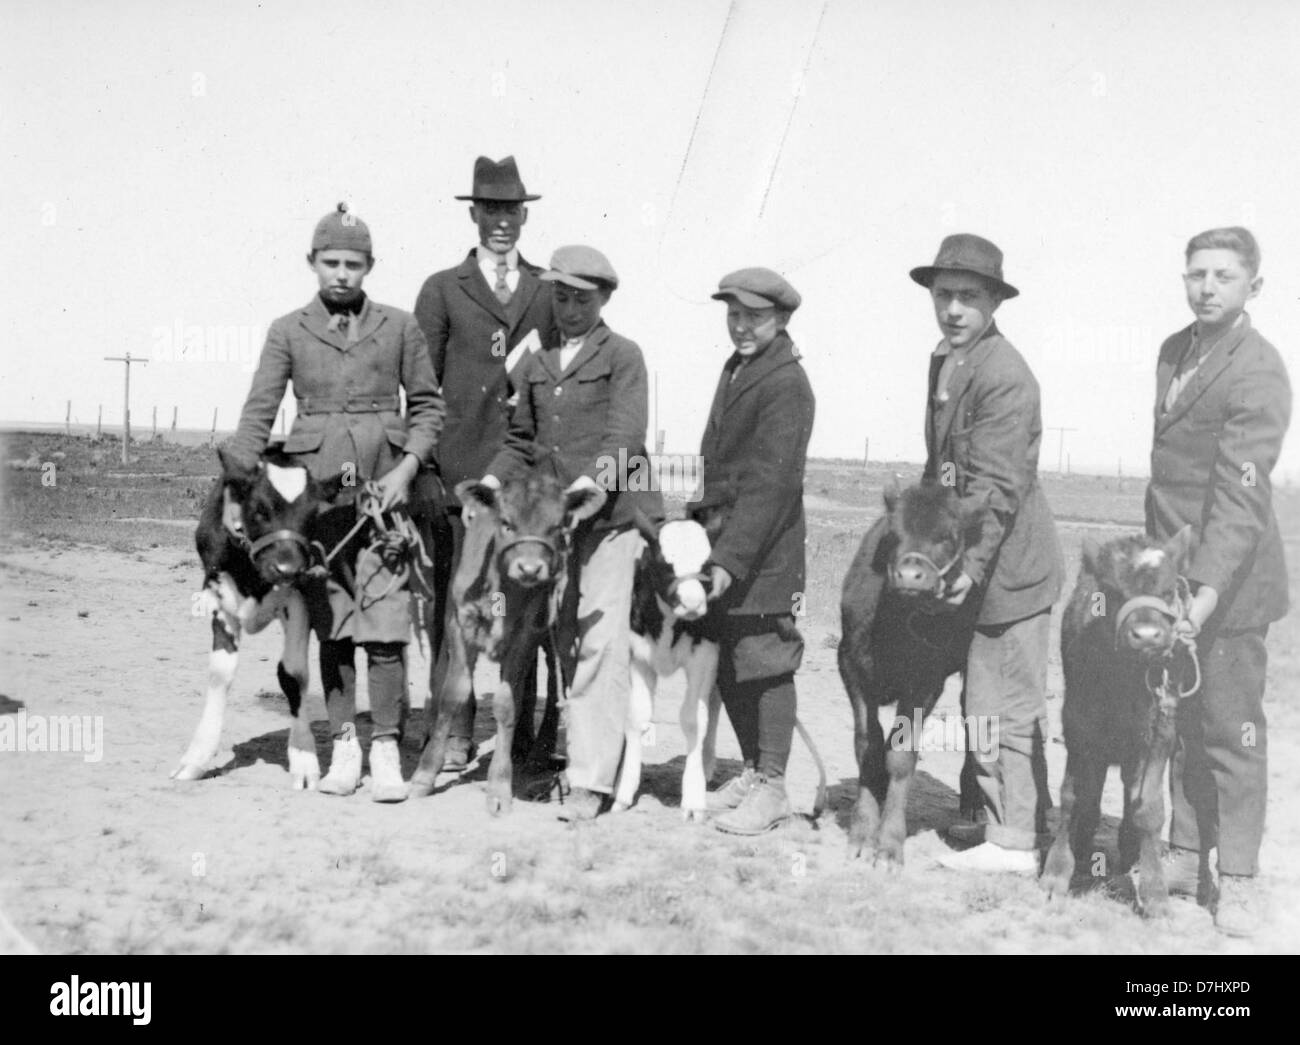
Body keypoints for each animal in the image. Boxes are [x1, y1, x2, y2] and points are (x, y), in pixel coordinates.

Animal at [174, 447, 345, 785]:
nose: (288, 568)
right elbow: (220, 674)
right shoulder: (221, 597)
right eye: (260, 510)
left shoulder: (299, 599)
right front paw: (196, 757)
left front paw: (303, 756)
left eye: (311, 516)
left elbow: (293, 674)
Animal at [616, 517, 728, 821]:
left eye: (706, 565)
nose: (692, 603)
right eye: (665, 564)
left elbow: (693, 719)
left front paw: (693, 797)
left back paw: (707, 764)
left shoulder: (705, 656)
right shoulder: (638, 657)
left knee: (714, 705)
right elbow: (638, 716)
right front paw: (624, 791)